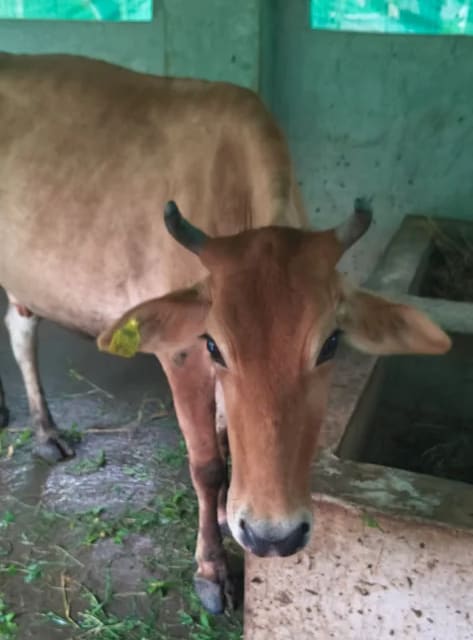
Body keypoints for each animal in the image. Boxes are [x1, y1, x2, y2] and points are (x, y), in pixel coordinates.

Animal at [0, 53, 451, 614]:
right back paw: (43, 431)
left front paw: (224, 514)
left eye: (331, 344)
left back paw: (38, 428)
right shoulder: (182, 353)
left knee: (18, 328)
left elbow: (225, 440)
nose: (274, 536)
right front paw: (212, 569)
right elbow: (207, 464)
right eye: (214, 343)